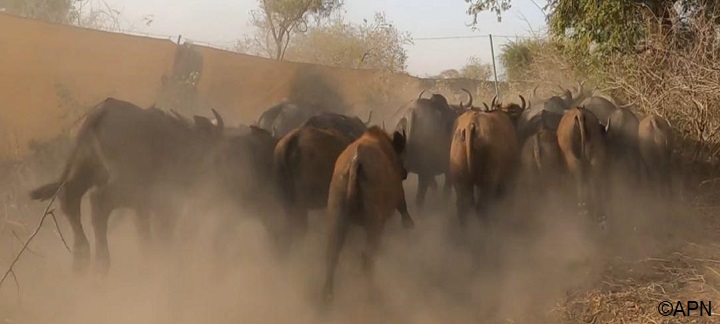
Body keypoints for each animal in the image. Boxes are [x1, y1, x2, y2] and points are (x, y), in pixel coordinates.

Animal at [324, 126, 414, 302]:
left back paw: (326, 298)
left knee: (332, 254)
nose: (405, 172)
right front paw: (409, 224)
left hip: (337, 216)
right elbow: (403, 206)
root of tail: (356, 162)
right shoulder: (398, 195)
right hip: (374, 224)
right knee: (367, 258)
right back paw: (371, 294)